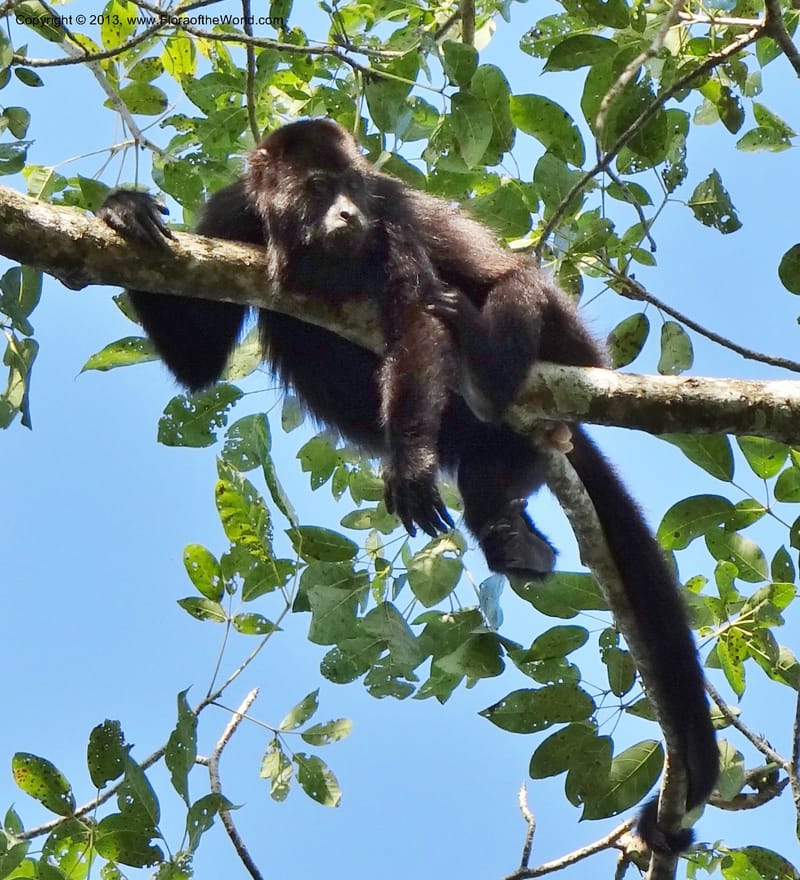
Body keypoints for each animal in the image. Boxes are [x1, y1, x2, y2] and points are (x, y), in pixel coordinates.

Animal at [99, 117, 717, 852]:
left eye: (352, 188)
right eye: (318, 188)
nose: (347, 215)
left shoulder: (388, 212)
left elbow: (416, 316)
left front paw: (411, 462)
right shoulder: (228, 216)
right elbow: (199, 361)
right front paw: (124, 211)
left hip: (573, 355)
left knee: (515, 289)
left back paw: (484, 364)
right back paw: (511, 535)